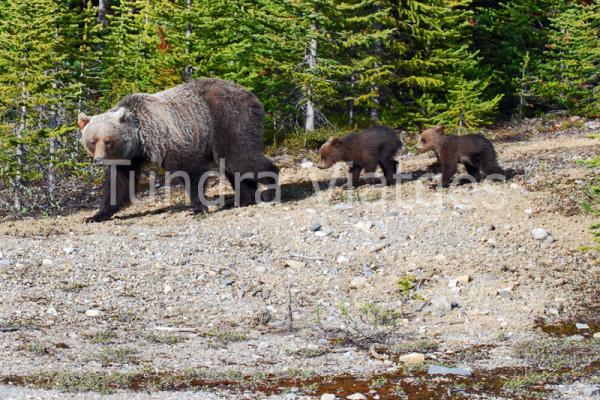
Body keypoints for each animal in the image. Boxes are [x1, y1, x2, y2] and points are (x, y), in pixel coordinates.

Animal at [77, 78, 278, 222]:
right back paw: (240, 200)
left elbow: (190, 167)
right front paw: (96, 215)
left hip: (228, 120)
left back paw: (270, 189)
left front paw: (198, 207)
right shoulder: (128, 158)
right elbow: (119, 184)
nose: (99, 160)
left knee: (239, 157)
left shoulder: (165, 138)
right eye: (93, 140)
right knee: (232, 165)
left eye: (108, 141)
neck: (140, 139)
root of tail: (252, 95)